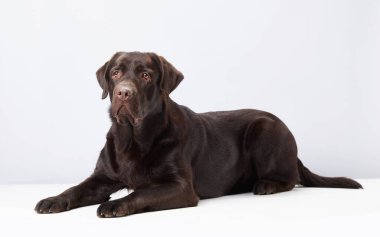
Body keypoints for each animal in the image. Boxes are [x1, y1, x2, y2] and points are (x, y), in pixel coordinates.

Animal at [33, 51, 362, 218]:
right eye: (115, 73)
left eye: (145, 75)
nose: (123, 93)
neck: (134, 138)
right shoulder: (101, 178)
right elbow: (76, 189)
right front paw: (52, 199)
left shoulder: (180, 186)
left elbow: (141, 192)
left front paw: (115, 205)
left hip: (265, 129)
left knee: (291, 178)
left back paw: (266, 185)